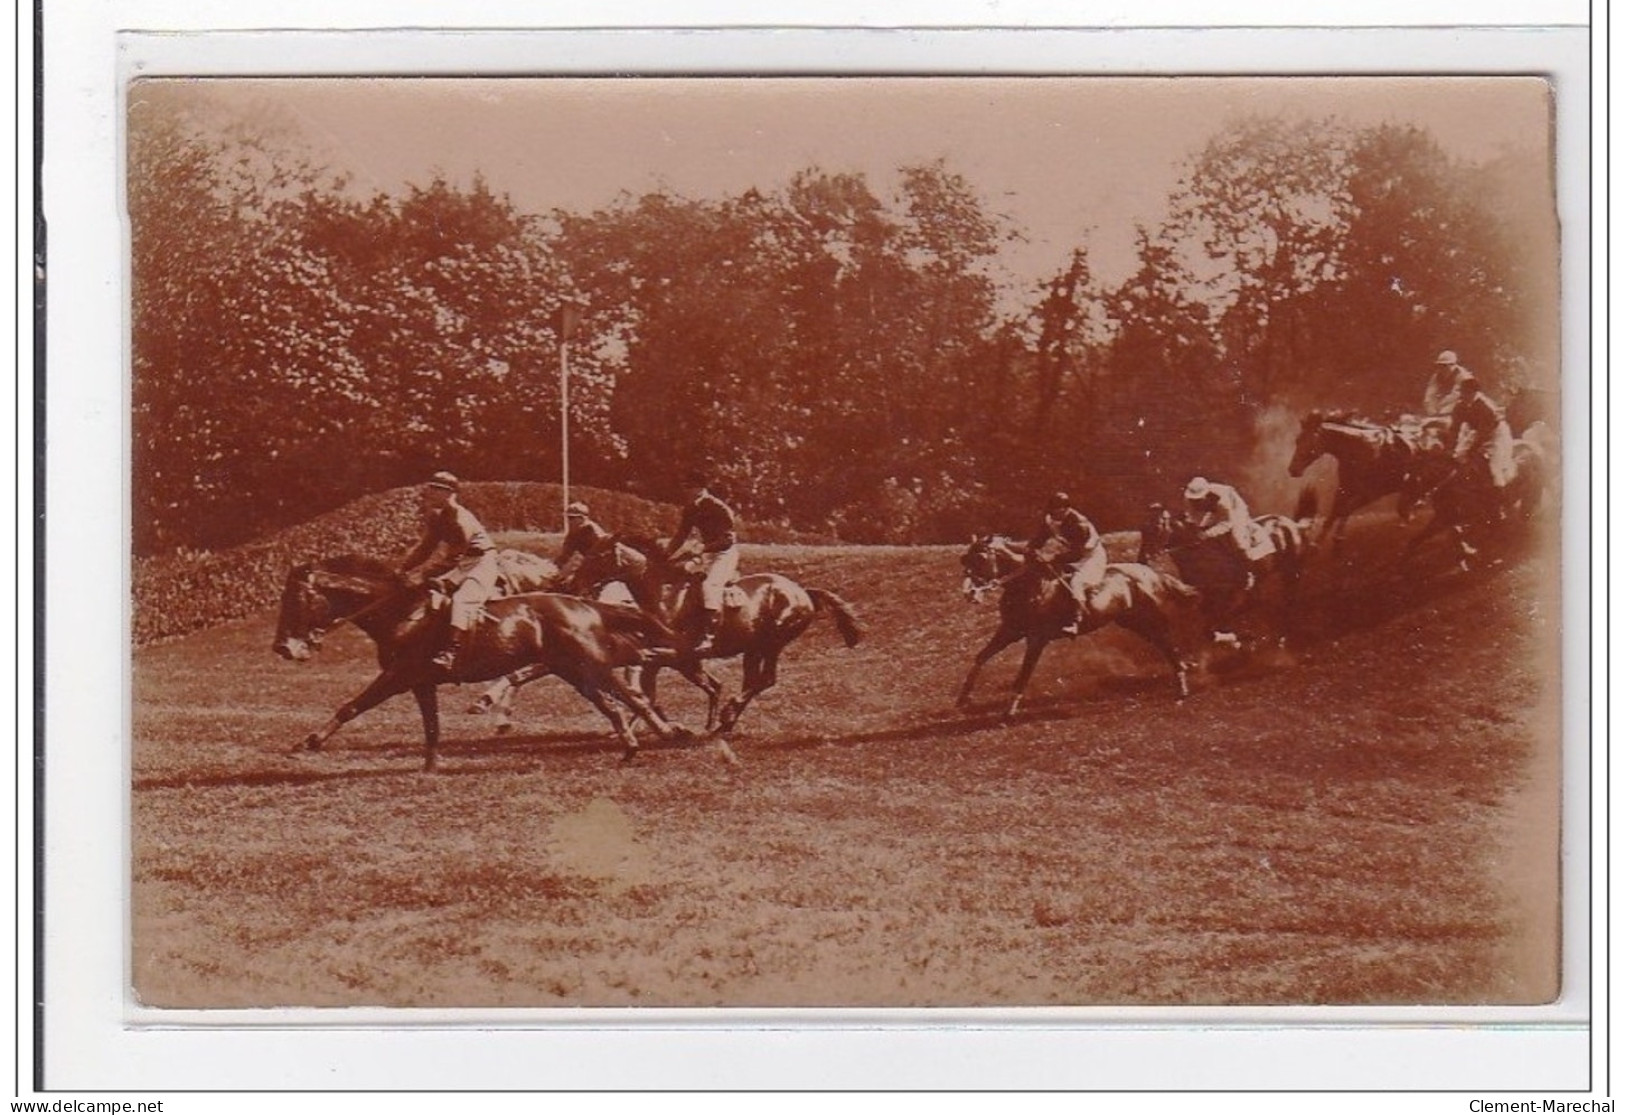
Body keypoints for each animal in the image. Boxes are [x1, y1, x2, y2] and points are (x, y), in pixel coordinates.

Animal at [271, 555, 685, 773]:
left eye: (294, 601)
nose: (283, 648)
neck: (401, 612)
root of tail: (588, 605)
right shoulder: (421, 681)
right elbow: (432, 727)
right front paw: (431, 766)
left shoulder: (398, 675)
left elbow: (352, 706)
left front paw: (309, 741)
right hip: (575, 672)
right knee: (613, 704)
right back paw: (632, 745)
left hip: (590, 666)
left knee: (631, 697)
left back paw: (663, 733)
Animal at [949, 536, 1209, 721]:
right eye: (964, 559)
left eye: (981, 558)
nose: (969, 593)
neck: (1029, 584)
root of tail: (1150, 572)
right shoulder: (1010, 631)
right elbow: (981, 657)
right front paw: (963, 698)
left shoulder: (1036, 638)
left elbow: (1023, 674)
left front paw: (1009, 711)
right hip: (1132, 622)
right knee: (1166, 645)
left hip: (1149, 620)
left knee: (1168, 644)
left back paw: (1183, 686)